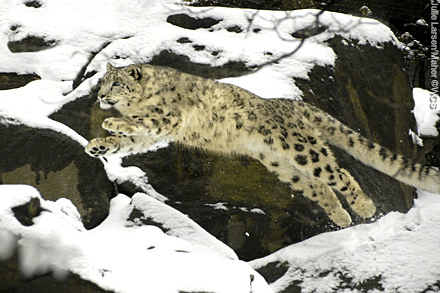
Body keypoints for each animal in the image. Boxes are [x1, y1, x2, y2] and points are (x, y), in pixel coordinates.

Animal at [84, 62, 438, 226]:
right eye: (102, 82)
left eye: (116, 83)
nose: (100, 96)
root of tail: (294, 104)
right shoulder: (154, 134)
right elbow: (127, 142)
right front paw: (98, 146)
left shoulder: (167, 119)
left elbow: (139, 122)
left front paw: (111, 123)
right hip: (282, 165)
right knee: (319, 187)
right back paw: (342, 218)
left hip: (304, 150)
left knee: (339, 174)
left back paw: (365, 207)